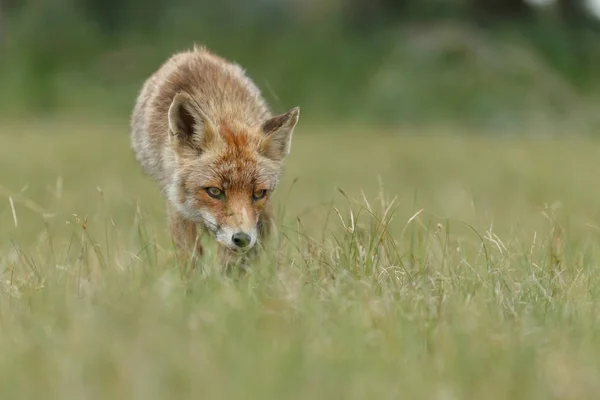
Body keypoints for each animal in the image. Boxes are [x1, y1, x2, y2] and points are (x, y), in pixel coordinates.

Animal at [131, 45, 300, 268]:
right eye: (214, 191)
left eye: (258, 193)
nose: (242, 238)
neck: (222, 112)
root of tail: (193, 51)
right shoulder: (177, 206)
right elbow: (190, 256)